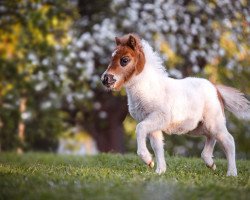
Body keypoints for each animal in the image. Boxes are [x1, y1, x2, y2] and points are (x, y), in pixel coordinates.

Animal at [100, 33, 249, 176]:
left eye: (124, 60)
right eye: (111, 58)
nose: (105, 79)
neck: (149, 88)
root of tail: (215, 88)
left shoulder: (159, 117)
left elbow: (140, 128)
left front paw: (147, 160)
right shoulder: (153, 124)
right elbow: (157, 146)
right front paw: (159, 170)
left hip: (214, 122)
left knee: (228, 141)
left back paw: (231, 173)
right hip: (198, 127)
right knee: (211, 137)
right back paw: (210, 163)